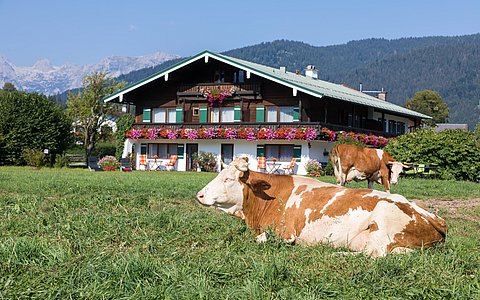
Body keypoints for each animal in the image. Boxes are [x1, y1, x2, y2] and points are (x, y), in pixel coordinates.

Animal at [196, 157, 446, 258]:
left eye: (228, 179)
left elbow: (261, 240)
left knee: (375, 255)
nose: (199, 195)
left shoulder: (284, 234)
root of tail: (438, 221)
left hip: (382, 226)